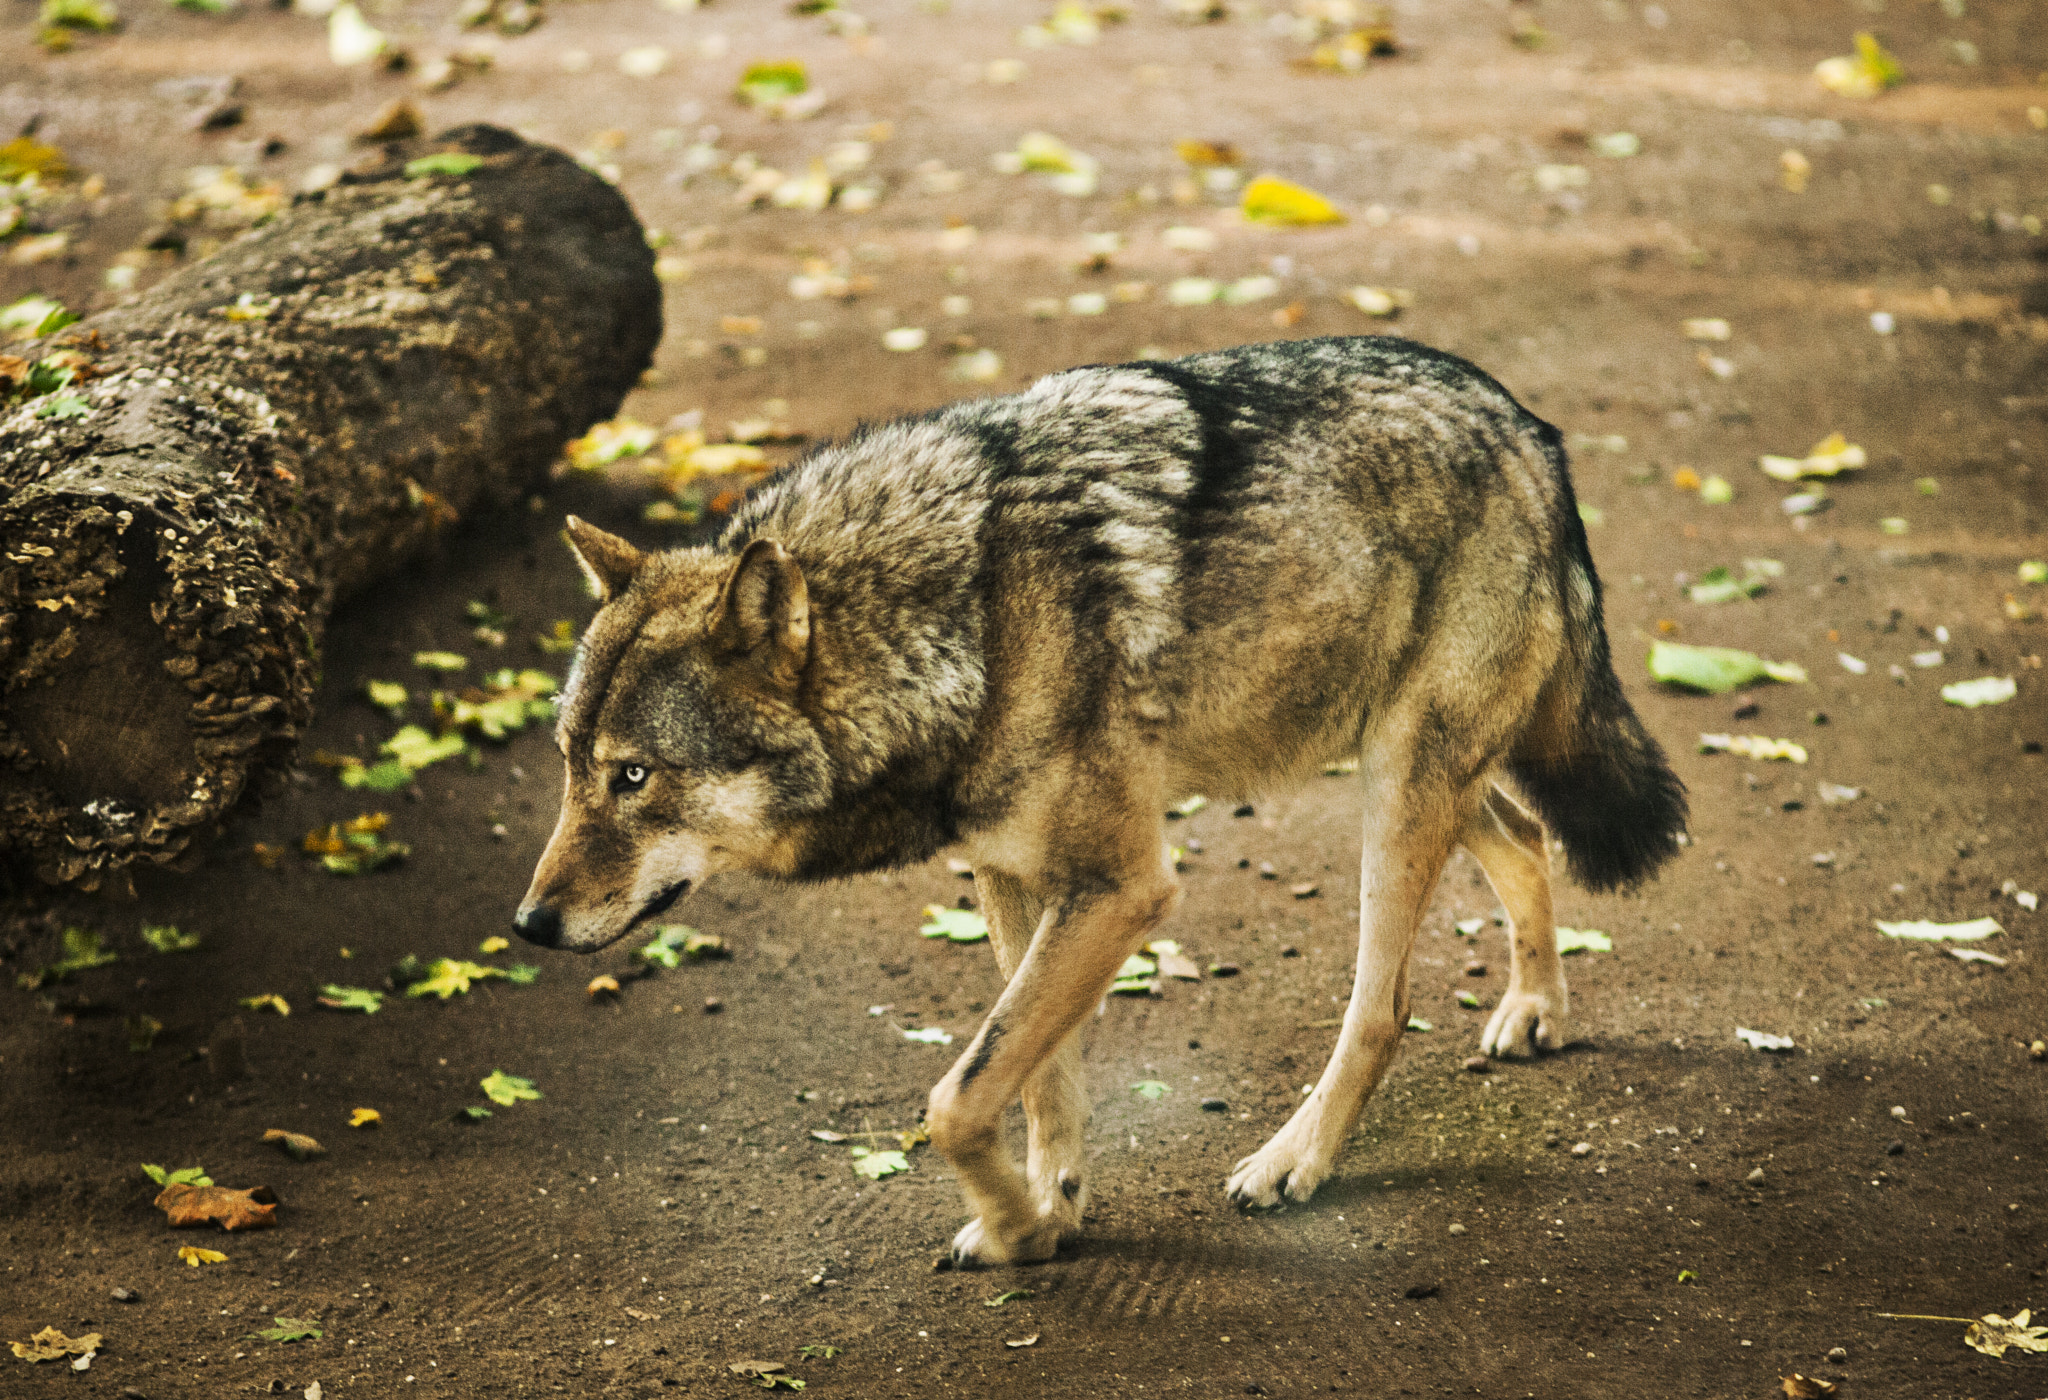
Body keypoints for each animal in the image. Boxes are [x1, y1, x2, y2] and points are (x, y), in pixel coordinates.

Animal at [515, 335, 1687, 1266]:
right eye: (569, 760)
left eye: (633, 775)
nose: (527, 923)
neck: (970, 617)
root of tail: (1528, 426)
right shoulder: (1014, 875)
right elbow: (1036, 1081)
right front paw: (1045, 1216)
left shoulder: (1122, 888)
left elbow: (956, 1100)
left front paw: (1016, 1223)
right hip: (1388, 764)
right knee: (1526, 837)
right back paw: (1535, 1011)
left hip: (1397, 783)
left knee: (1383, 1001)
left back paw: (1294, 1160)